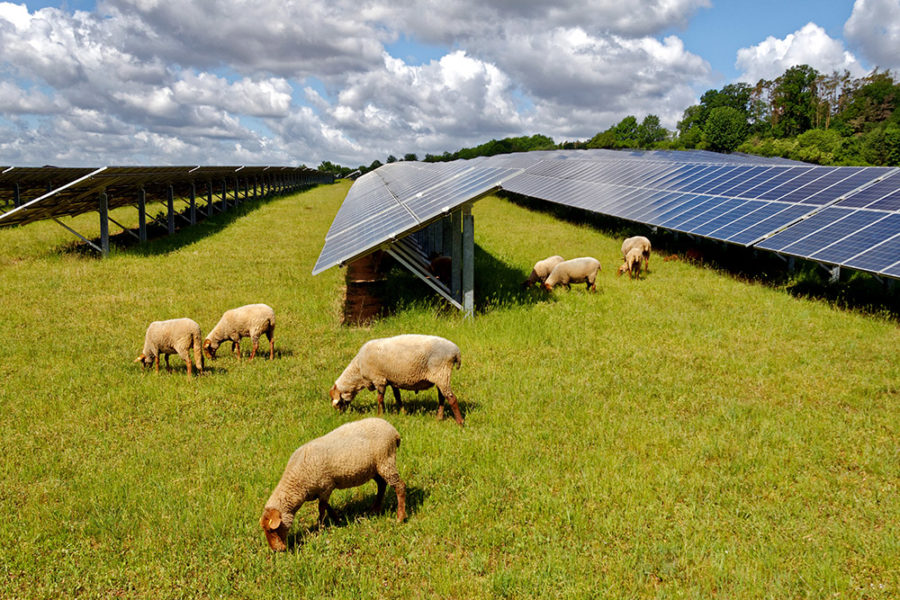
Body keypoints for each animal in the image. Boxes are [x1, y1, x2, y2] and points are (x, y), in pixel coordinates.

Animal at [258, 418, 402, 552]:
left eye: (271, 530)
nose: (277, 550)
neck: (298, 482)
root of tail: (393, 430)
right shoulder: (322, 490)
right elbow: (327, 506)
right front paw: (337, 519)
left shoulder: (326, 486)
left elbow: (322, 508)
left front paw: (320, 528)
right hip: (376, 467)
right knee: (382, 484)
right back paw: (375, 509)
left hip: (386, 459)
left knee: (399, 486)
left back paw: (400, 517)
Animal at [334, 332, 468, 426]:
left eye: (338, 402)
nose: (339, 415)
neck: (358, 370)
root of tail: (456, 352)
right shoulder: (393, 380)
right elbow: (398, 398)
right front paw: (403, 413)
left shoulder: (379, 379)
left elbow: (380, 399)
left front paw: (380, 415)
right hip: (440, 376)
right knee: (442, 398)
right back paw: (439, 418)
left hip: (442, 373)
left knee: (452, 399)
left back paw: (460, 423)